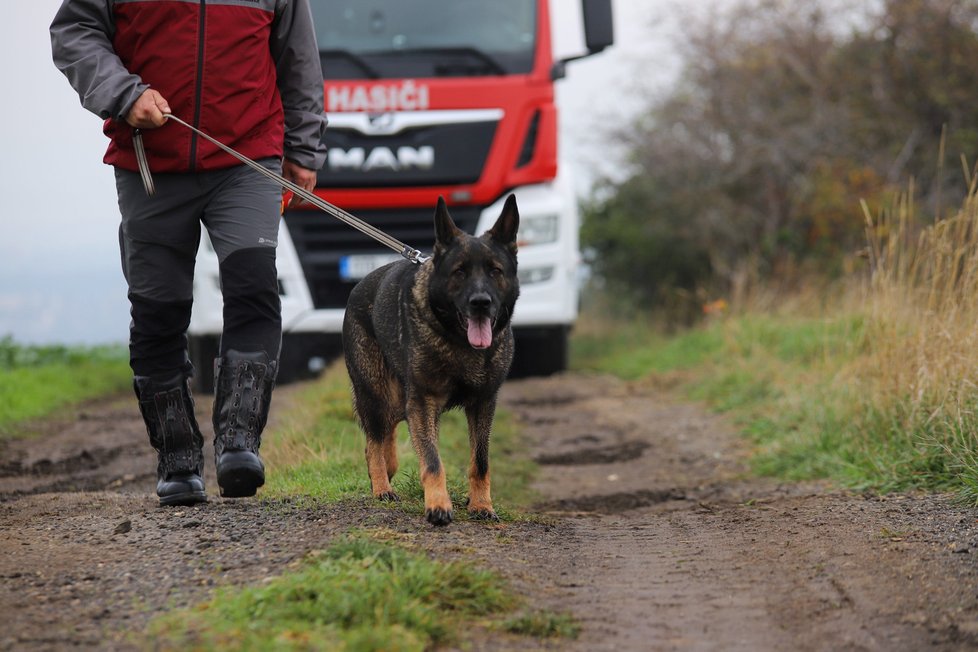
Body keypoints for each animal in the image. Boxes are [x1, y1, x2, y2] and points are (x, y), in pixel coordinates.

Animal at [342, 195, 520, 524]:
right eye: (459, 272)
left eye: (495, 271)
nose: (481, 303)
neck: (459, 342)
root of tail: (357, 288)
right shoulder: (423, 402)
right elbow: (433, 460)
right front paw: (438, 504)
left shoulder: (483, 404)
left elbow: (480, 461)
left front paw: (481, 505)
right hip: (377, 394)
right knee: (374, 442)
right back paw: (381, 487)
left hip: (399, 401)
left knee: (386, 435)